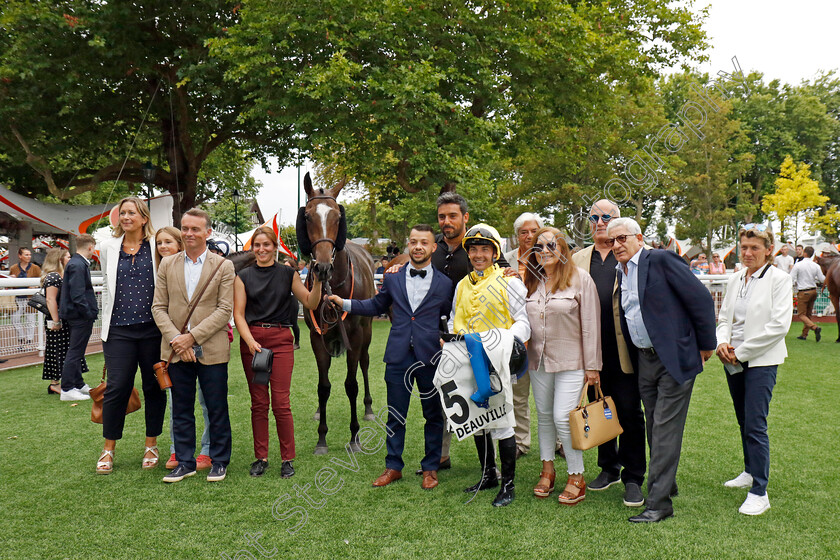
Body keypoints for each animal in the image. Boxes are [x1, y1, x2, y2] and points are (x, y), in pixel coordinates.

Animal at [296, 173, 374, 452]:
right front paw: (321, 437)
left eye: (338, 217)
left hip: (367, 334)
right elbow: (323, 386)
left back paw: (369, 408)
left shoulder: (356, 336)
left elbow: (351, 384)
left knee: (364, 364)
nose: (322, 268)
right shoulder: (317, 337)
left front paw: (354, 436)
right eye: (307, 216)